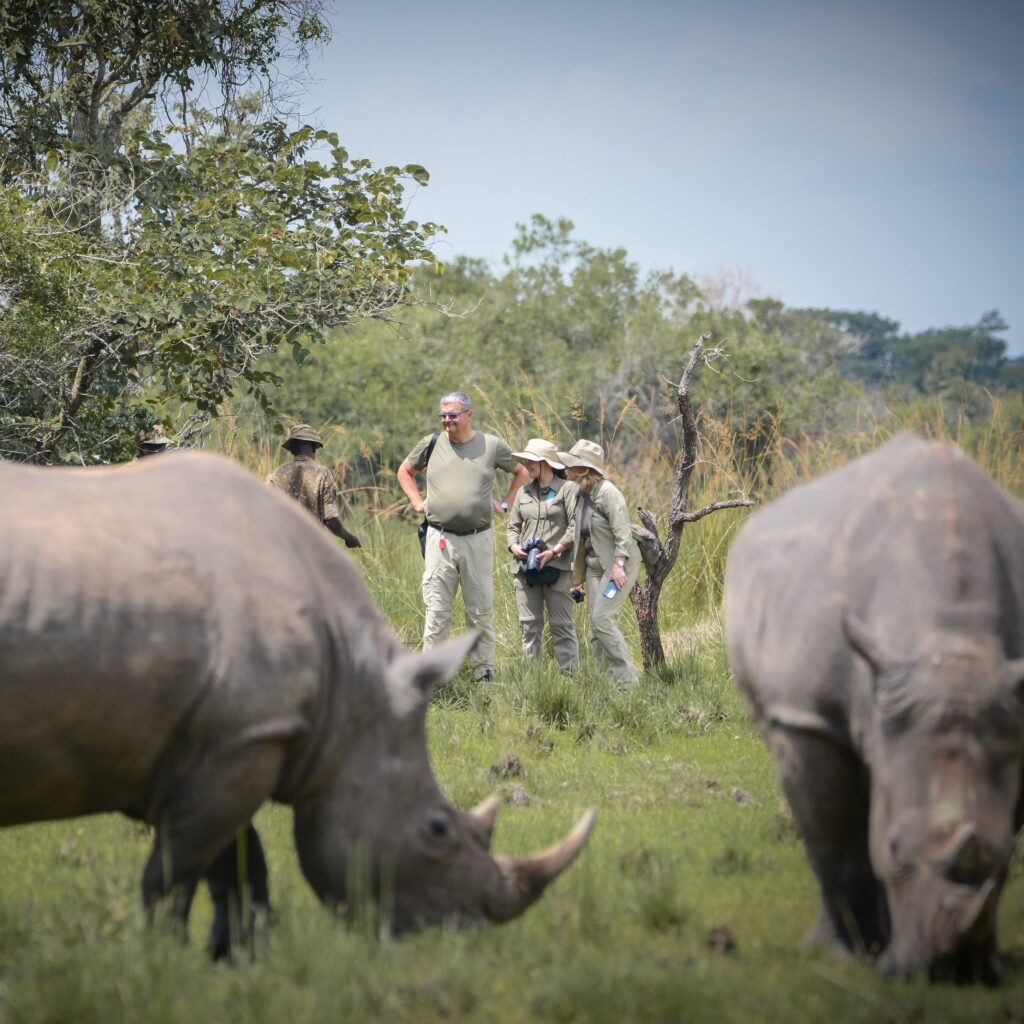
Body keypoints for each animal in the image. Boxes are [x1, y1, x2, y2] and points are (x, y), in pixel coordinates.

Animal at [0, 451, 594, 955]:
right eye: (436, 830)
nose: (460, 935)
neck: (353, 690)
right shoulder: (241, 739)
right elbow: (175, 874)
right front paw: (165, 961)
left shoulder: (224, 744)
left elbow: (238, 864)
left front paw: (235, 957)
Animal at [724, 434, 1024, 983]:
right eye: (895, 851)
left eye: (1010, 860)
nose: (949, 972)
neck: (949, 647)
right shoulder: (808, 718)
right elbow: (837, 843)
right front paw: (844, 956)